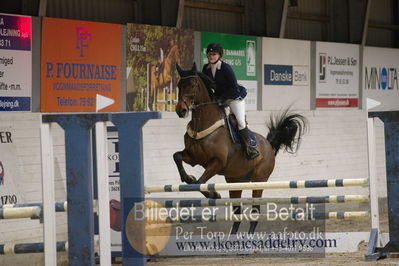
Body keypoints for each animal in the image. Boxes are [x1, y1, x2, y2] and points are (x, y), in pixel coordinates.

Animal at [173, 63, 308, 234]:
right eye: (179, 85)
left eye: (192, 84)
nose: (181, 110)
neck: (202, 124)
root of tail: (269, 145)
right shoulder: (193, 157)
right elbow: (177, 157)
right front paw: (188, 178)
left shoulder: (217, 163)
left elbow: (201, 182)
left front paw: (214, 193)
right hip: (235, 182)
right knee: (237, 213)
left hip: (259, 180)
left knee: (255, 212)